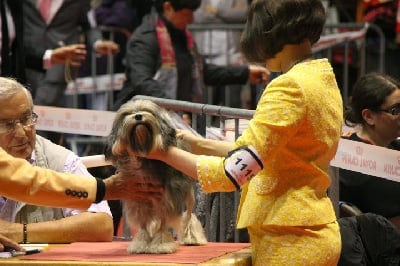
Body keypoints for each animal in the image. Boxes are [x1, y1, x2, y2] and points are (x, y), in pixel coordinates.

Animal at [104, 100, 208, 254]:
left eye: (148, 111)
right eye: (127, 114)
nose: (138, 116)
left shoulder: (165, 199)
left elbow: (163, 224)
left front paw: (160, 244)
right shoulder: (138, 200)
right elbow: (143, 225)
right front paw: (142, 243)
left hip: (189, 195)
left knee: (189, 215)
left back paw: (191, 238)